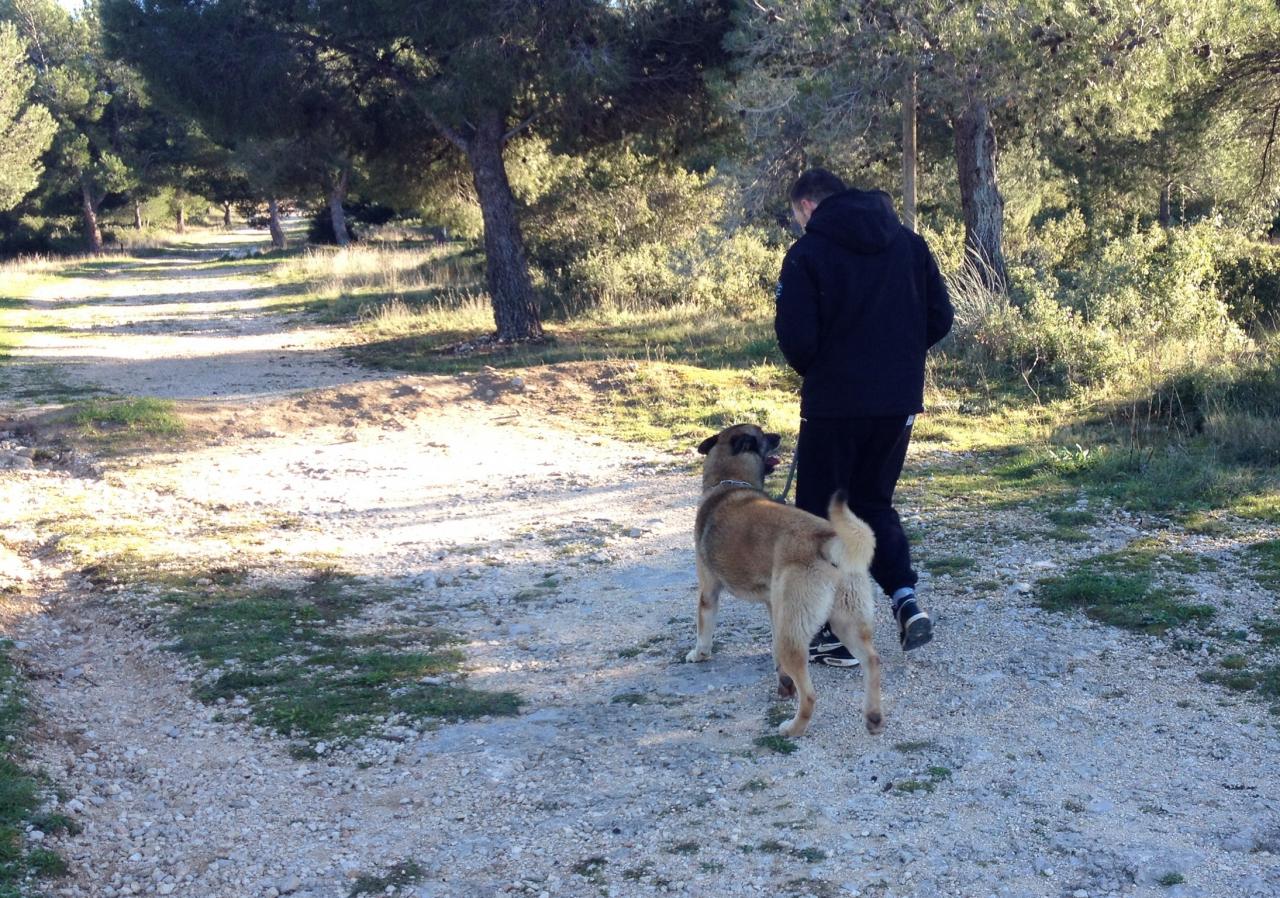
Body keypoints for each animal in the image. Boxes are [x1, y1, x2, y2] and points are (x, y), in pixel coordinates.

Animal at [691, 424, 880, 736]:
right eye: (762, 434)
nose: (779, 435)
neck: (730, 482)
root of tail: (826, 540)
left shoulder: (709, 592)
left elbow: (704, 630)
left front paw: (699, 654)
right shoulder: (772, 605)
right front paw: (782, 681)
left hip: (793, 635)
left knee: (811, 695)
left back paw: (793, 729)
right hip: (846, 622)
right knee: (873, 661)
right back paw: (874, 717)